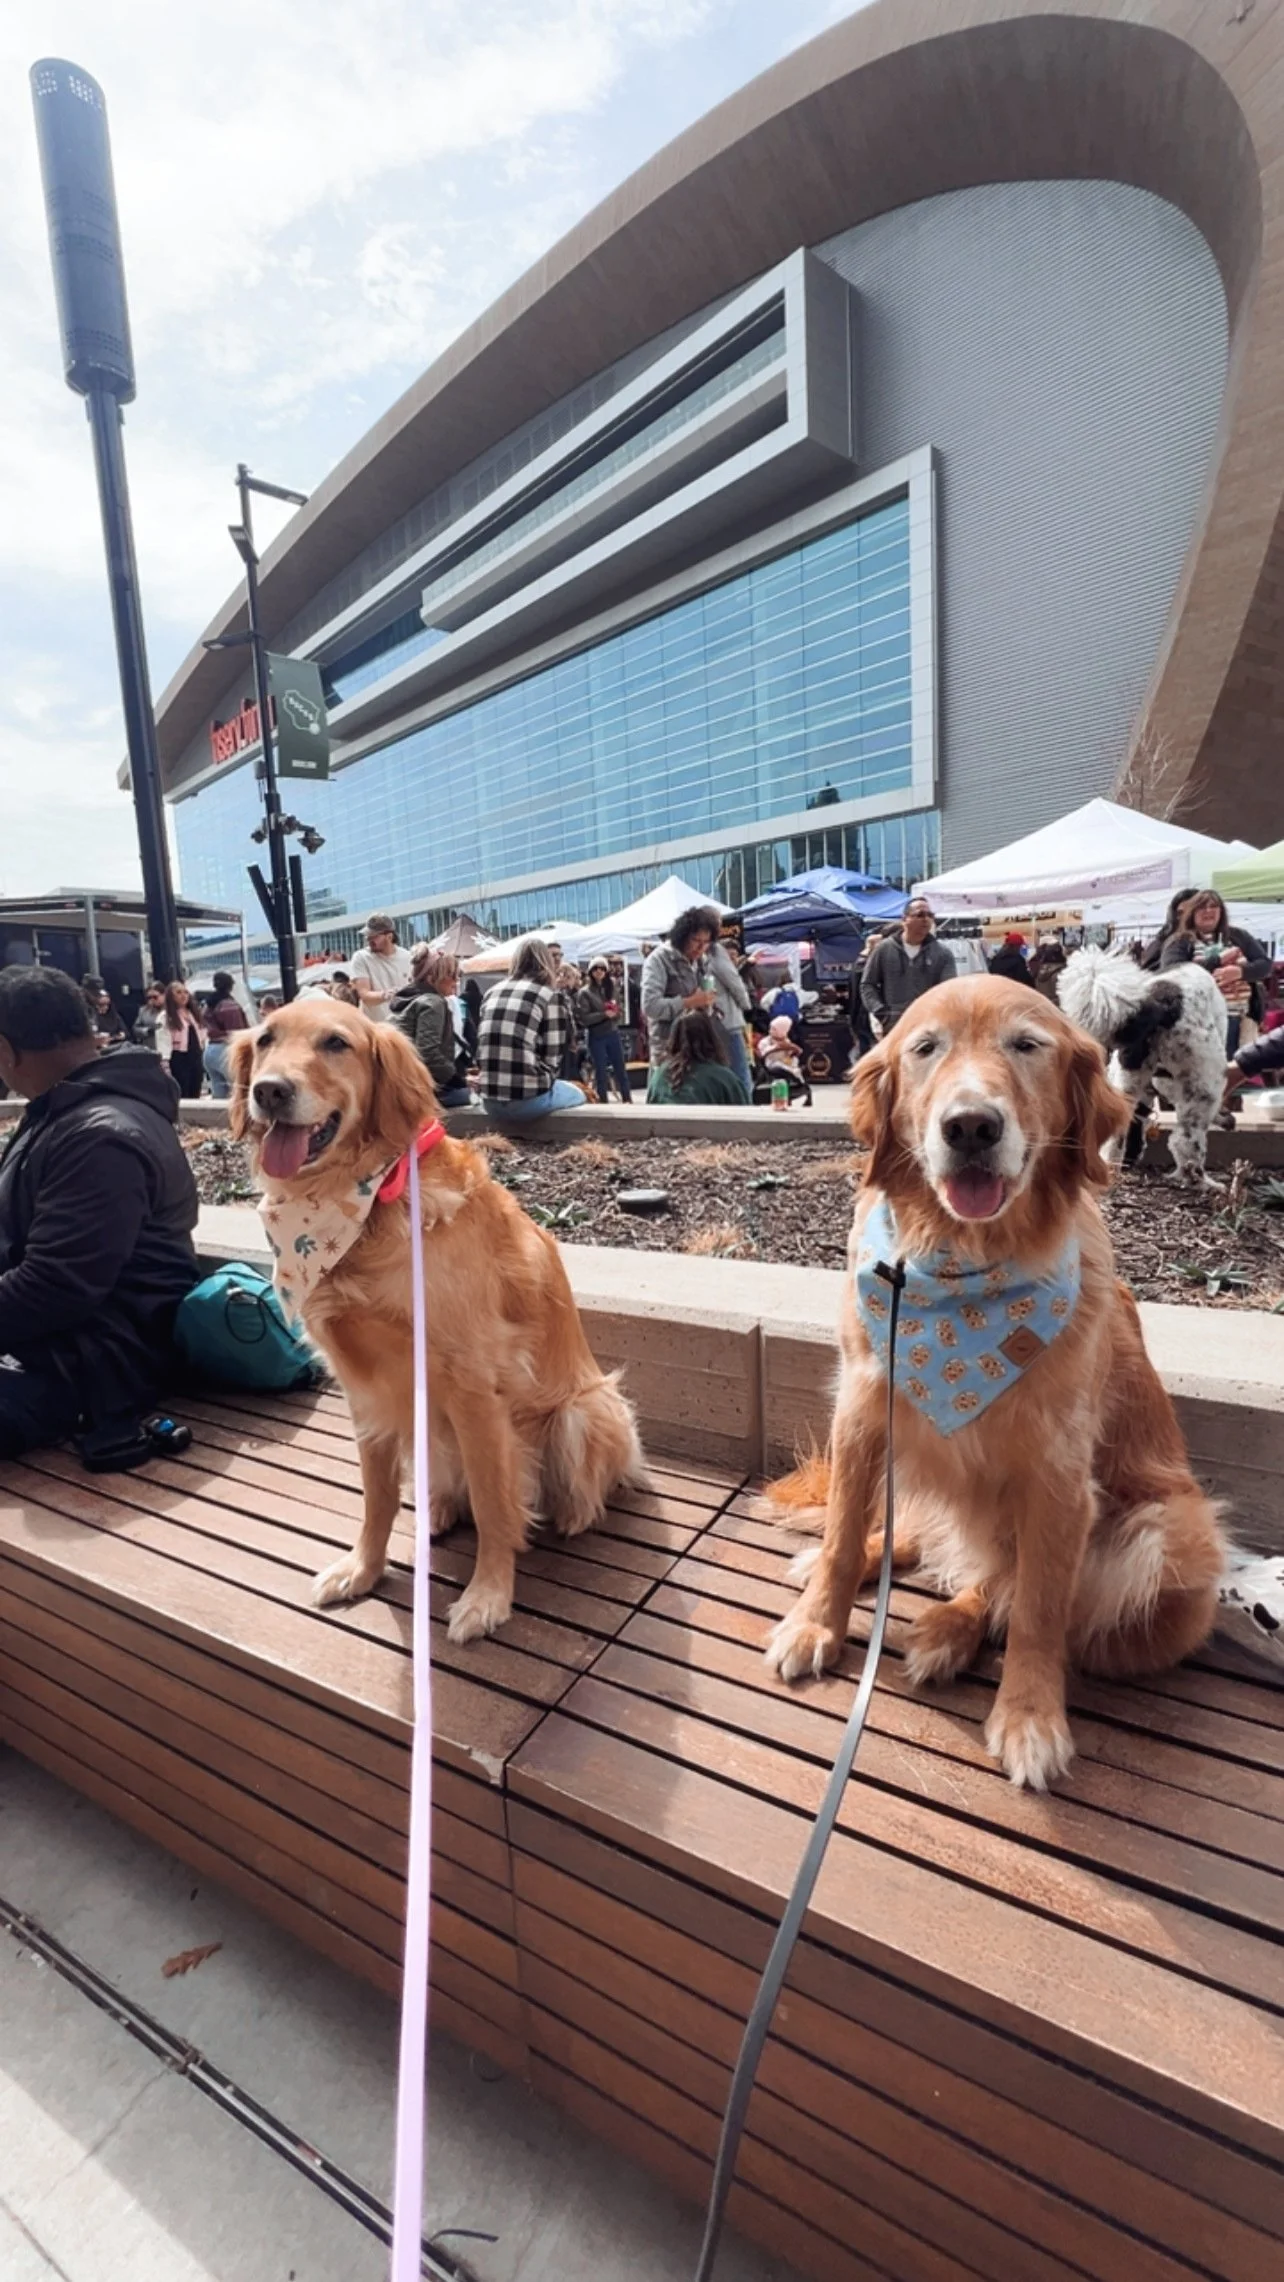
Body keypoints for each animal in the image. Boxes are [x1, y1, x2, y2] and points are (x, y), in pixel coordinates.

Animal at [227, 999, 644, 1643]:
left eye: (335, 1043)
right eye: (266, 1039)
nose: (269, 1091)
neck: (359, 1202)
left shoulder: (473, 1385)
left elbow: (496, 1506)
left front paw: (488, 1596)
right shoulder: (364, 1391)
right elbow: (376, 1498)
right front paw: (362, 1569)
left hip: (584, 1409)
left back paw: (573, 1515)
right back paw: (439, 1511)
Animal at [764, 975, 1225, 1790]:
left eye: (1027, 1045)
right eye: (925, 1048)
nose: (971, 1126)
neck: (958, 1262)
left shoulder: (1058, 1474)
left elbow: (1039, 1607)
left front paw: (1030, 1718)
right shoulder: (864, 1412)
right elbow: (847, 1531)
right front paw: (819, 1617)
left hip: (1170, 1535)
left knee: (1006, 1583)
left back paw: (949, 1629)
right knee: (925, 1539)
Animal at [1057, 946, 1227, 1179]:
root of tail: (1162, 1003)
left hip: (1128, 1080)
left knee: (1118, 1134)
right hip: (1203, 1087)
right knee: (1187, 1140)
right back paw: (1197, 1178)